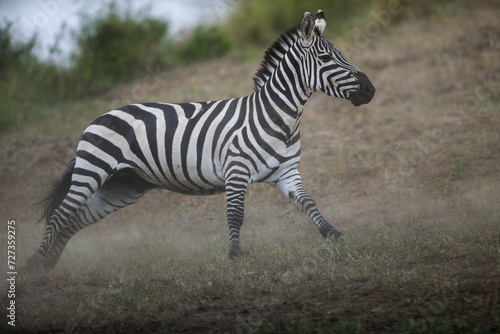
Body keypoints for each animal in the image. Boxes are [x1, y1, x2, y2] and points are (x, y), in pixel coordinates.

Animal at [25, 10, 374, 270]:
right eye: (327, 59)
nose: (370, 90)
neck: (278, 117)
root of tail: (99, 117)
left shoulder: (287, 172)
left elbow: (309, 203)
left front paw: (335, 236)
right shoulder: (236, 171)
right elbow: (236, 215)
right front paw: (235, 256)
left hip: (124, 186)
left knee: (75, 219)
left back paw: (48, 265)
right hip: (93, 171)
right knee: (60, 214)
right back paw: (34, 264)